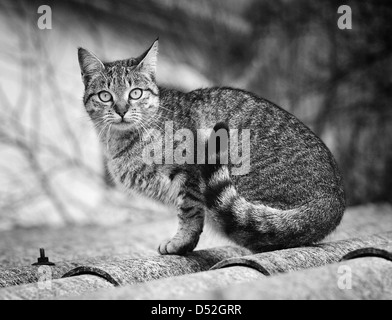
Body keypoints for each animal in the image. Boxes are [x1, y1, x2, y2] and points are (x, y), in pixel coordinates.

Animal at [77, 40, 346, 255]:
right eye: (105, 96)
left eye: (135, 93)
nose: (121, 110)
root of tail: (334, 200)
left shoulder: (190, 174)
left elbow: (189, 212)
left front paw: (180, 243)